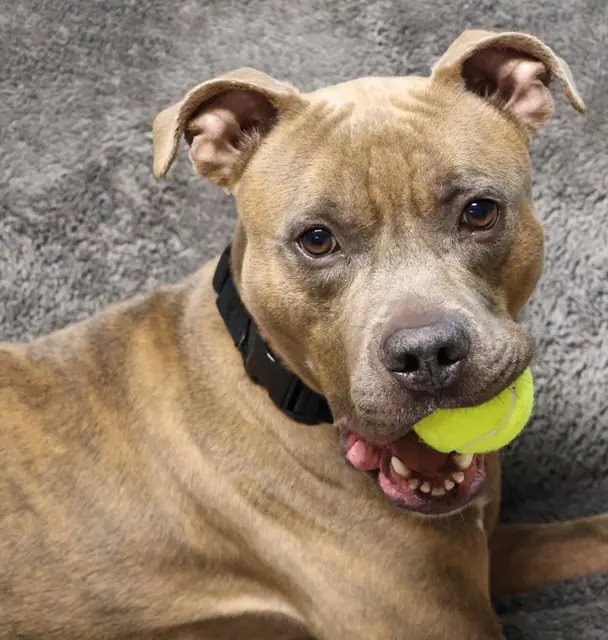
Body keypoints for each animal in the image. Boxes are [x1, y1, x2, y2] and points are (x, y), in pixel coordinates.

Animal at [1, 28, 608, 640]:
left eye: (479, 211)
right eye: (317, 240)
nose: (428, 354)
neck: (273, 383)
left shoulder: (490, 552)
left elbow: (590, 531)